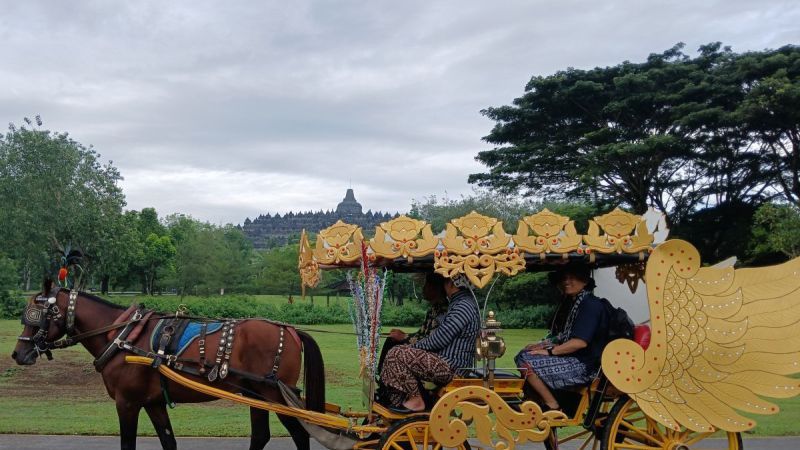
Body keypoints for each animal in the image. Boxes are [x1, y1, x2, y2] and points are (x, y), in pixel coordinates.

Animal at [10, 284, 326, 450]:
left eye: (36, 316)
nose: (18, 353)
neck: (121, 335)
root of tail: (291, 330)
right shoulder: (153, 402)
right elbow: (168, 441)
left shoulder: (127, 402)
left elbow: (128, 445)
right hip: (254, 394)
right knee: (261, 435)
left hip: (274, 394)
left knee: (300, 434)